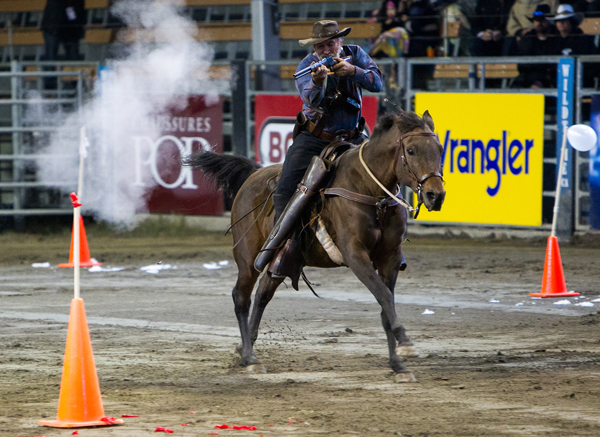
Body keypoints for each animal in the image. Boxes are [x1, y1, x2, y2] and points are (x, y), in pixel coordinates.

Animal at [188, 110, 446, 382]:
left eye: (440, 149)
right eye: (411, 150)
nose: (435, 195)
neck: (370, 191)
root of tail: (253, 174)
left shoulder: (390, 259)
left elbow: (386, 305)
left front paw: (398, 365)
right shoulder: (356, 255)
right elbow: (384, 296)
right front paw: (406, 344)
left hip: (281, 261)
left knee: (262, 295)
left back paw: (245, 349)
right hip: (248, 257)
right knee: (241, 297)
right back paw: (249, 358)